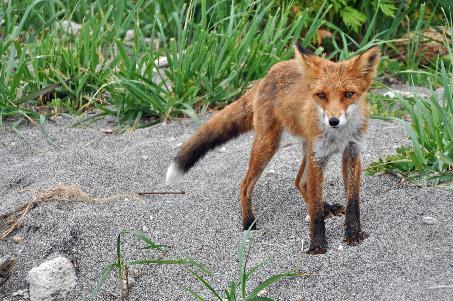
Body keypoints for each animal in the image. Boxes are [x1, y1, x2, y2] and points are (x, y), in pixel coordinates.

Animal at [165, 44, 378, 253]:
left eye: (348, 94)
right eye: (321, 95)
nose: (333, 121)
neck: (339, 135)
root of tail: (268, 73)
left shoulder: (352, 151)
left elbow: (352, 201)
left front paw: (353, 234)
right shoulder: (318, 156)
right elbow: (316, 209)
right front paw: (317, 245)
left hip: (304, 147)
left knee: (300, 181)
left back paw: (326, 208)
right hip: (269, 144)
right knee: (246, 185)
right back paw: (249, 222)